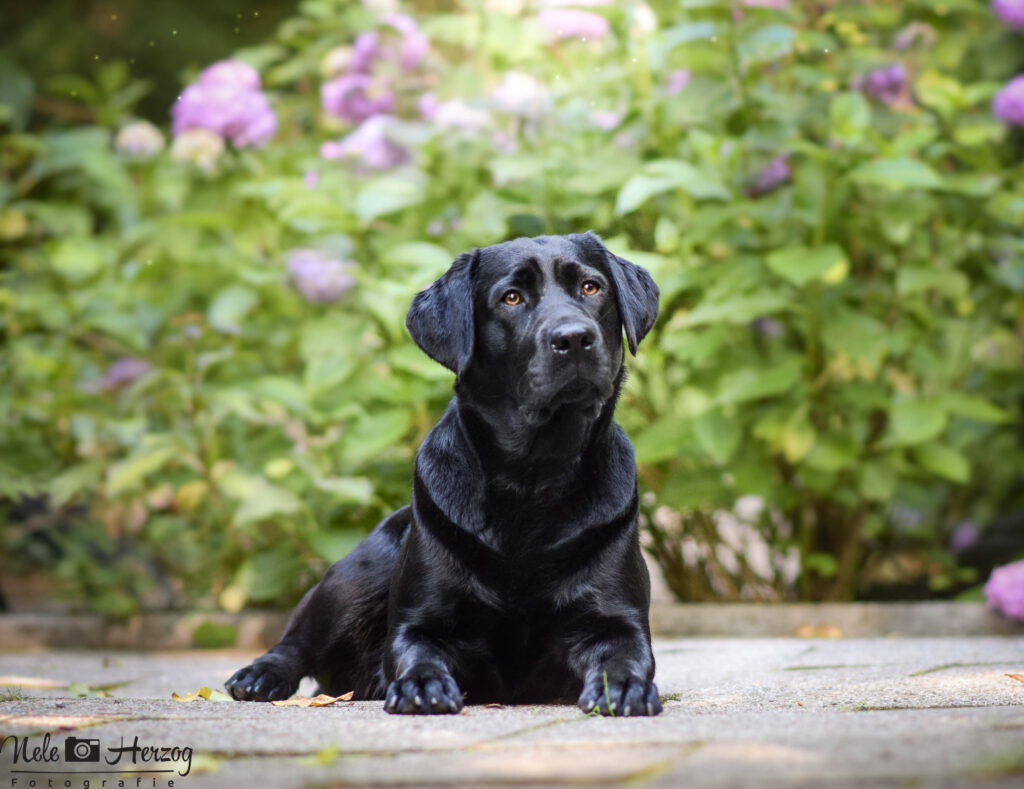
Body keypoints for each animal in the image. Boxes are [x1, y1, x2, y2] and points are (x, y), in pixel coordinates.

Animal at [226, 230, 663, 716]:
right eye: (511, 297)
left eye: (591, 287)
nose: (574, 338)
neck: (533, 476)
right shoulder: (419, 623)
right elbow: (418, 651)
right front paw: (421, 685)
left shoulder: (618, 622)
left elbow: (625, 654)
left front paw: (622, 686)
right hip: (356, 575)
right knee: (295, 641)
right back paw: (259, 676)